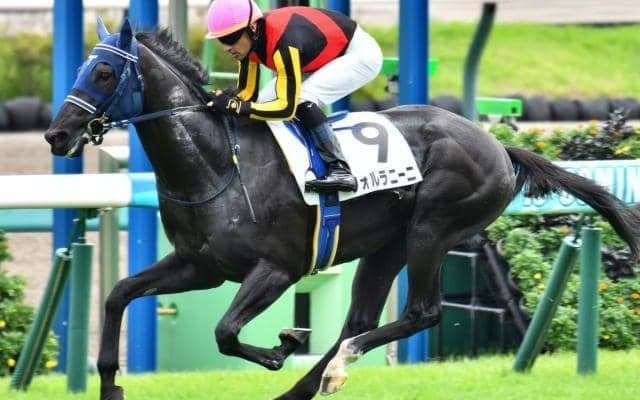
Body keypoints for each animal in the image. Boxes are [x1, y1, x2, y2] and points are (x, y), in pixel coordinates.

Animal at [44, 20, 640, 400]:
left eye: (103, 73)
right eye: (79, 68)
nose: (57, 135)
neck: (217, 163)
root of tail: (498, 146)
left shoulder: (277, 268)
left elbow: (225, 332)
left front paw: (281, 347)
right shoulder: (200, 266)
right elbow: (119, 295)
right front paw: (109, 384)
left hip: (434, 229)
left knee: (419, 313)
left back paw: (333, 368)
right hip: (386, 247)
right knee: (359, 319)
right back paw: (310, 384)